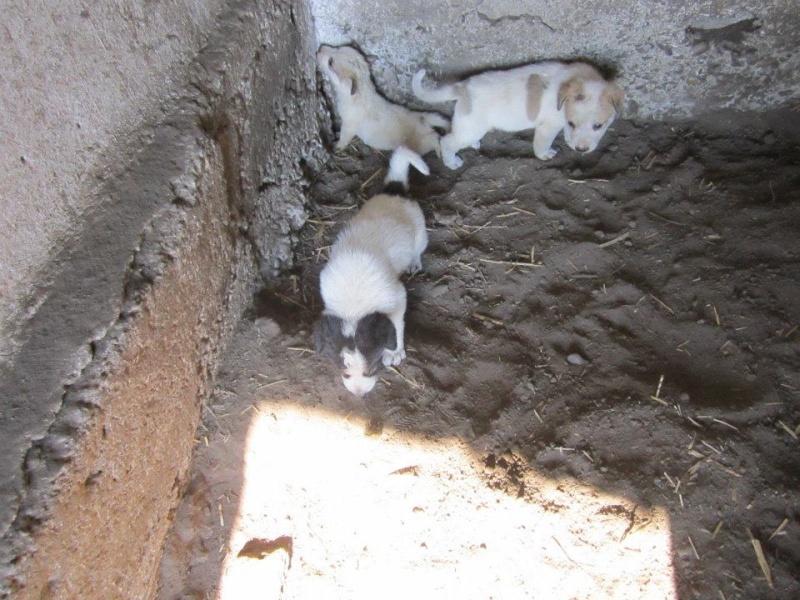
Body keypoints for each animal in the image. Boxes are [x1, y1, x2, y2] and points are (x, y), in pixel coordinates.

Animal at [312, 147, 432, 396]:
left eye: (372, 368)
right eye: (344, 370)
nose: (359, 395)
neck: (353, 305)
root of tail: (394, 189)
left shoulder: (397, 296)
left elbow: (396, 324)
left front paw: (395, 352)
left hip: (421, 235)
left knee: (418, 248)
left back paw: (414, 262)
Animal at [316, 44, 450, 157]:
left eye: (330, 63)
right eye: (338, 47)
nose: (320, 48)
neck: (361, 93)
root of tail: (423, 118)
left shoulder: (349, 125)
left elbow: (344, 138)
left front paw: (337, 146)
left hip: (422, 144)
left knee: (434, 138)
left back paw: (439, 152)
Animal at [412, 60, 624, 168]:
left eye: (598, 126)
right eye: (572, 123)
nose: (581, 150)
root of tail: (462, 86)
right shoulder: (548, 127)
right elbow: (542, 144)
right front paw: (545, 155)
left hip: (470, 126)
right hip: (471, 127)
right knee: (447, 141)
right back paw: (452, 162)